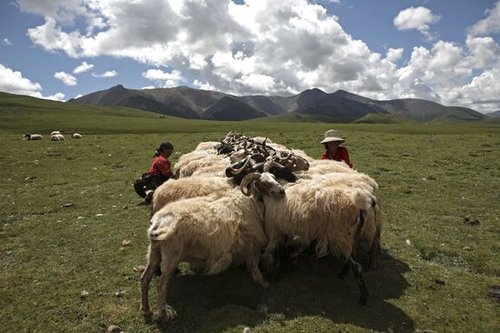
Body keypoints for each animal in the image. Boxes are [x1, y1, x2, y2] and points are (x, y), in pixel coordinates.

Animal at [141, 171, 288, 320]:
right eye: (264, 182)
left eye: (274, 177)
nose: (282, 191)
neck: (251, 203)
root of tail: (158, 223)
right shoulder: (251, 244)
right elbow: (254, 266)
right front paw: (263, 282)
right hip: (171, 255)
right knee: (161, 285)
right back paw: (163, 315)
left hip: (155, 252)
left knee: (144, 278)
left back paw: (146, 309)